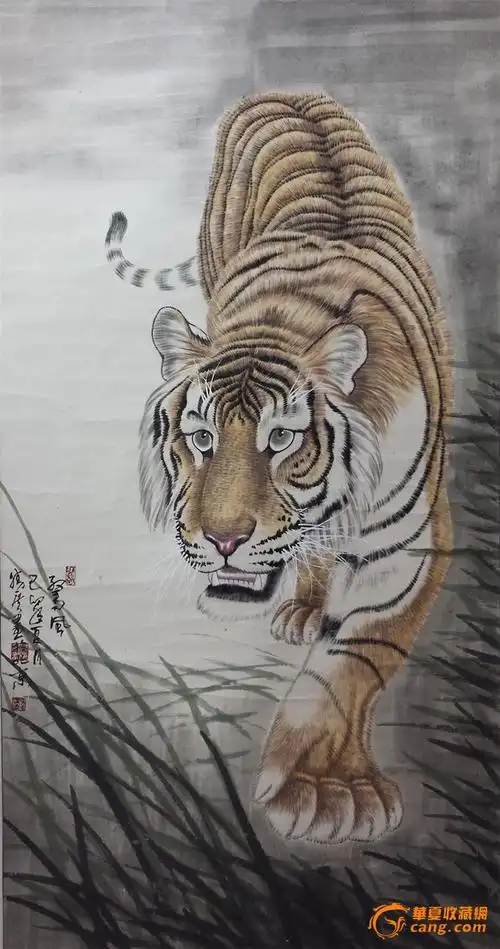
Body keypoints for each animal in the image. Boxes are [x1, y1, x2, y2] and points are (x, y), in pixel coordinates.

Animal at [105, 92, 453, 846]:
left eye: (283, 439)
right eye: (200, 437)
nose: (223, 539)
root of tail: (286, 93)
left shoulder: (412, 544)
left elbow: (355, 657)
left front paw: (325, 790)